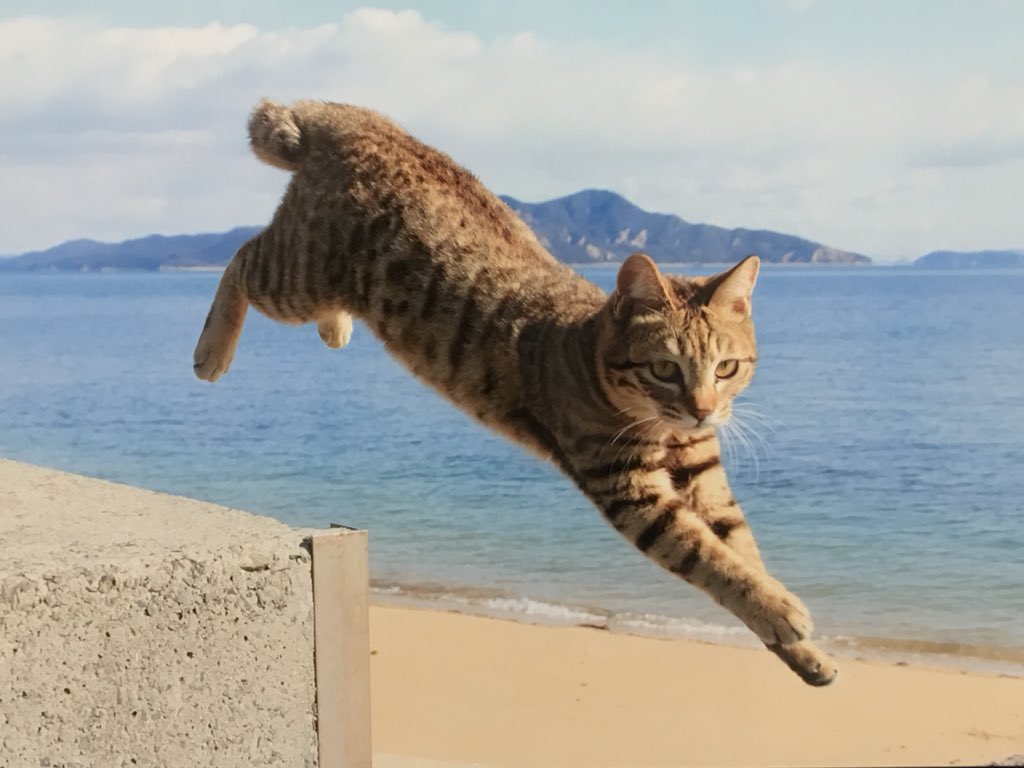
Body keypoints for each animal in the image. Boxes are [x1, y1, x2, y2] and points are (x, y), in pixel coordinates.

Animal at [195, 99, 835, 688]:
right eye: (663, 368)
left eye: (726, 367)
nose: (704, 408)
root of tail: (358, 119)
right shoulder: (629, 487)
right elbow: (711, 559)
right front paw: (780, 611)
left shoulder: (706, 476)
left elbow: (741, 551)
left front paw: (802, 651)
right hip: (299, 271)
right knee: (242, 260)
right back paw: (212, 351)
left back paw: (334, 326)